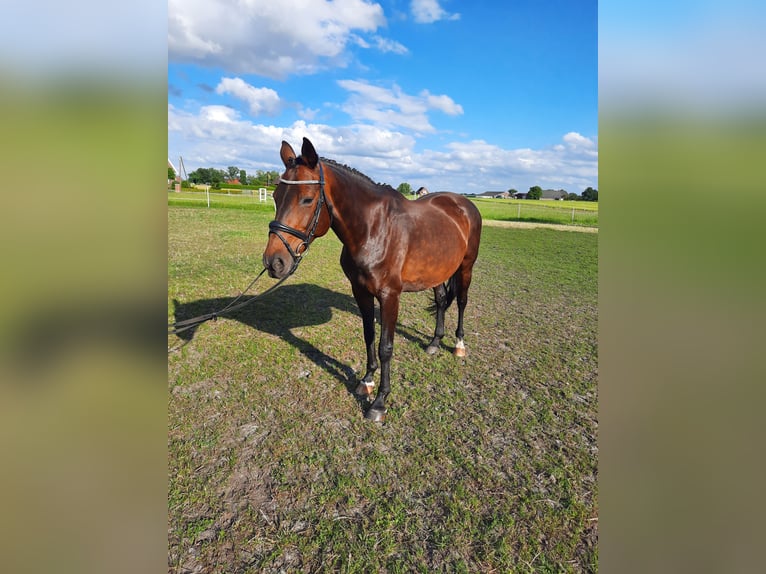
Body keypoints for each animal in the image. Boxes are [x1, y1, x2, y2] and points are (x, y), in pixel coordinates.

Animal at [262, 137, 480, 420]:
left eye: (307, 199)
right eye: (276, 196)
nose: (274, 262)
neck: (374, 228)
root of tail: (464, 204)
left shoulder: (390, 296)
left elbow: (385, 347)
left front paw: (379, 402)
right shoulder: (361, 291)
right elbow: (368, 336)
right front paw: (366, 381)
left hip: (466, 267)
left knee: (462, 302)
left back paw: (458, 345)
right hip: (437, 272)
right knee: (443, 300)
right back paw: (434, 342)